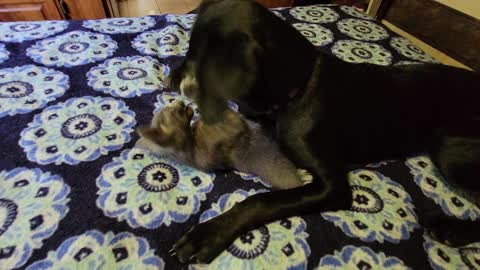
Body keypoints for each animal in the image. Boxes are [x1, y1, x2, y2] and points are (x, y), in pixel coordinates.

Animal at [167, 0, 478, 262]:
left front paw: (208, 234)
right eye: (192, 53)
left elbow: (261, 200)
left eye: (212, 67)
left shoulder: (332, 187)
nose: (182, 86)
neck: (300, 88)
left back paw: (451, 229)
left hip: (451, 152)